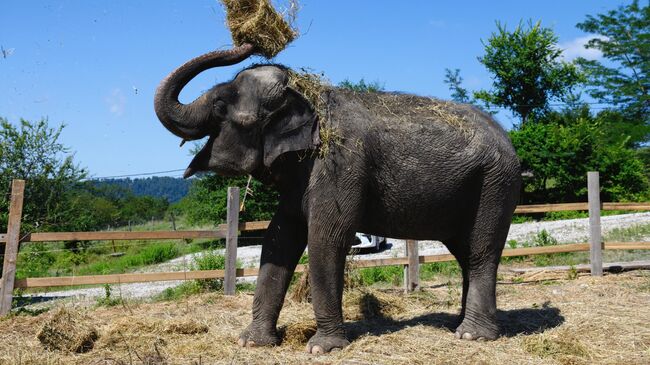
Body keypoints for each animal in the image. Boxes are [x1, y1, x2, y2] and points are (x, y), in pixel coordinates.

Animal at [154, 42, 520, 352]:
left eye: (220, 108)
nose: (248, 43)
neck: (309, 98)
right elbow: (278, 239)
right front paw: (252, 343)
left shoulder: (340, 165)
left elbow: (325, 239)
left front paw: (321, 348)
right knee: (465, 253)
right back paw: (459, 324)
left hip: (495, 185)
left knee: (481, 252)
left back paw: (472, 335)